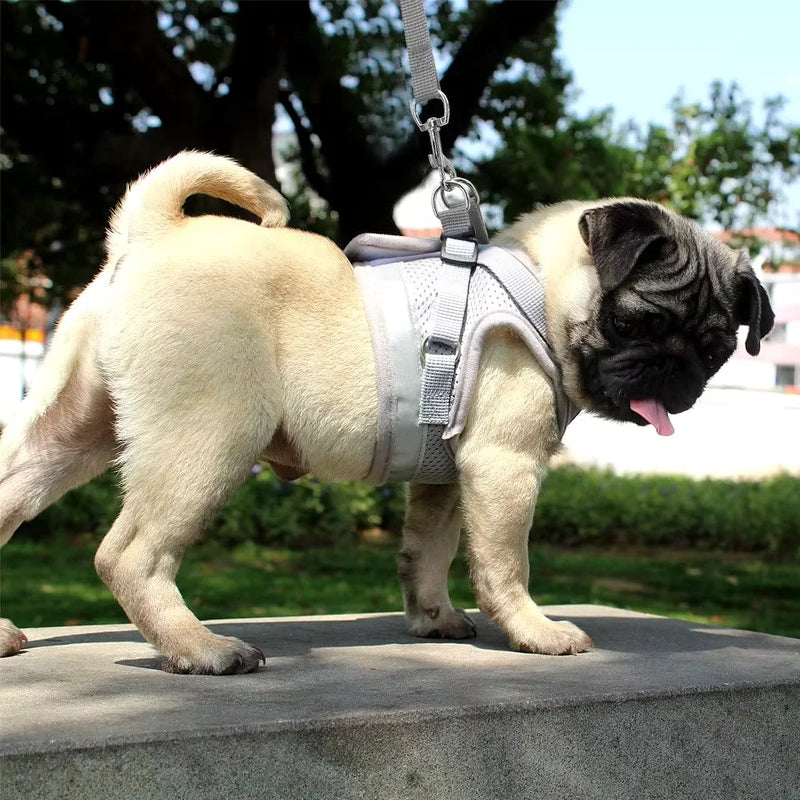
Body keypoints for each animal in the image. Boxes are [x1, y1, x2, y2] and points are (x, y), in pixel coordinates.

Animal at [0, 148, 776, 668]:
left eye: (715, 347)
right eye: (637, 323)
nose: (675, 370)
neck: (539, 285)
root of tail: (153, 233)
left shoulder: (446, 476)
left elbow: (427, 553)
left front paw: (434, 619)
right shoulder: (504, 466)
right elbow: (505, 563)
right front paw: (534, 631)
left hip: (71, 430)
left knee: (18, 493)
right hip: (208, 437)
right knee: (129, 555)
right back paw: (201, 648)